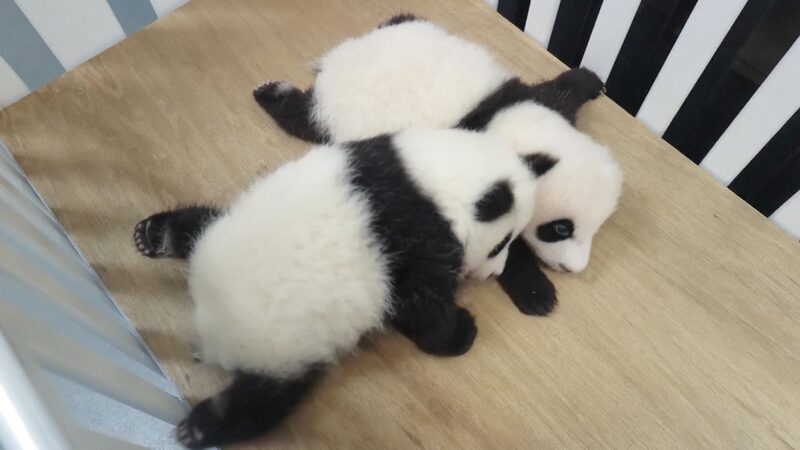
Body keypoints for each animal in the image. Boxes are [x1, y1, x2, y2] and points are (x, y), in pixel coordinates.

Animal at [133, 128, 553, 448]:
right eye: (501, 243)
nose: (492, 273)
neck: (429, 182)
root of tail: (207, 319)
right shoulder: (417, 241)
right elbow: (422, 304)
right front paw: (461, 332)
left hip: (227, 232)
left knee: (202, 224)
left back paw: (155, 235)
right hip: (281, 344)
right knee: (265, 400)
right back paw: (201, 427)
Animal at [253, 14, 623, 315]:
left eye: (595, 228)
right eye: (560, 229)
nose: (574, 268)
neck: (501, 125)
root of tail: (336, 60)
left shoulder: (527, 101)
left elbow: (561, 93)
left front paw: (591, 80)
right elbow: (500, 235)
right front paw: (536, 293)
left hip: (409, 29)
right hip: (334, 111)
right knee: (303, 118)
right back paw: (272, 94)